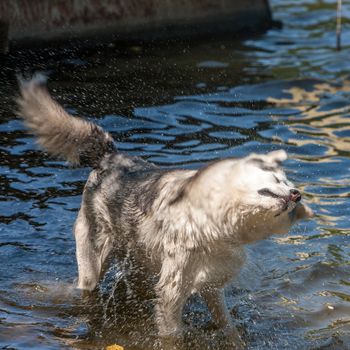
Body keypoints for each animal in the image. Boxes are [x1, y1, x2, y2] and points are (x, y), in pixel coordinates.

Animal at [16, 75, 314, 348]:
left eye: (287, 184)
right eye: (277, 181)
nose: (296, 194)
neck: (215, 223)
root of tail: (110, 156)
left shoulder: (210, 285)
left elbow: (227, 326)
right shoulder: (173, 288)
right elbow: (173, 334)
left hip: (139, 264)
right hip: (93, 266)